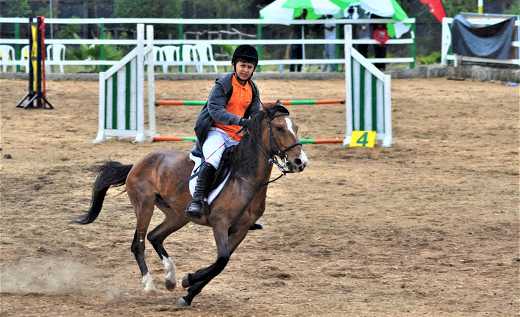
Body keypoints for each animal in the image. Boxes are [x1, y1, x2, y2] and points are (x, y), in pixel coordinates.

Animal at [75, 102, 306, 304]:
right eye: (279, 128)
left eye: (295, 127)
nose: (300, 162)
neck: (246, 178)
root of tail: (138, 163)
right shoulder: (220, 223)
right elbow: (221, 260)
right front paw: (189, 282)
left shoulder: (241, 229)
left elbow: (220, 263)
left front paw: (189, 290)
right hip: (144, 206)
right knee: (138, 244)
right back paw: (150, 286)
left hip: (178, 216)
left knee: (155, 236)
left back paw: (170, 278)